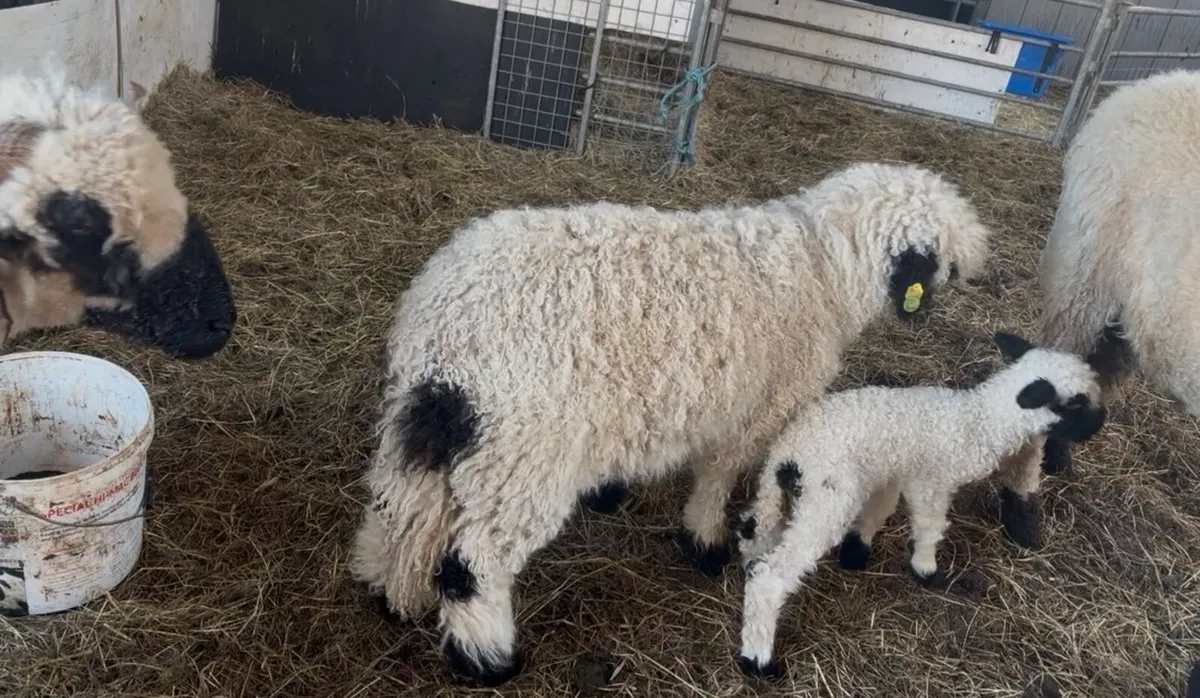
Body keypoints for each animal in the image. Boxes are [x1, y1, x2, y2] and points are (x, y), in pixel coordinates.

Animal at [350, 160, 993, 687]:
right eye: (941, 258)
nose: (977, 276)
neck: (821, 270)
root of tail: (449, 336)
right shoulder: (757, 408)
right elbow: (720, 474)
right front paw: (706, 541)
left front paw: (611, 492)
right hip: (521, 452)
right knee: (474, 562)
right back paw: (487, 659)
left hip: (432, 430)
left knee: (402, 512)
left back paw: (390, 592)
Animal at [734, 332, 1107, 679]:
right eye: (1074, 404)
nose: (1101, 420)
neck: (979, 424)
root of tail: (788, 457)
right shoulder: (931, 482)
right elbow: (930, 526)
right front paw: (926, 570)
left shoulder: (889, 474)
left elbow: (878, 511)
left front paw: (856, 552)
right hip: (827, 501)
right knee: (770, 577)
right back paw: (758, 661)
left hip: (782, 498)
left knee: (754, 536)